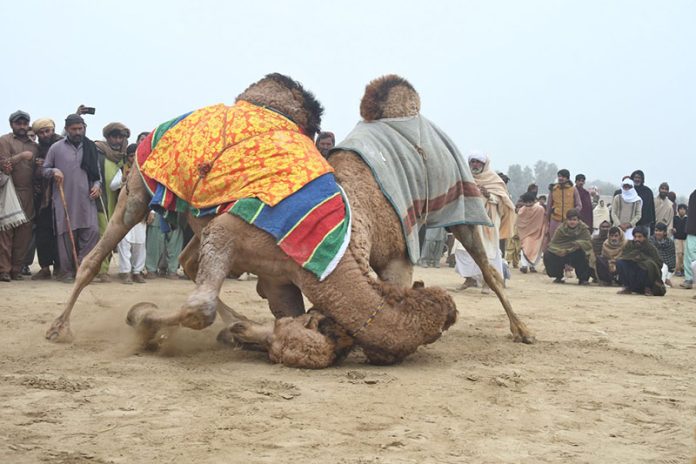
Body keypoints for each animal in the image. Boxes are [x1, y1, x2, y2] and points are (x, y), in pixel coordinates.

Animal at [45, 73, 533, 368]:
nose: (245, 334)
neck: (338, 248)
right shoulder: (235, 234)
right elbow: (201, 307)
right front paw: (143, 320)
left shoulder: (283, 271)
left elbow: (266, 312)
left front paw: (236, 330)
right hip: (142, 182)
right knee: (98, 251)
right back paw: (59, 327)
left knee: (487, 267)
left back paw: (523, 330)